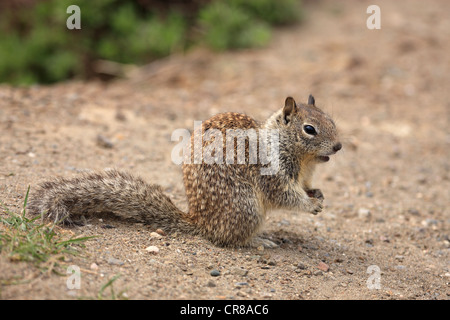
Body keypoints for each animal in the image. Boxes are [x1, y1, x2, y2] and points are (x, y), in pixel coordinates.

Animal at [28, 95, 340, 248]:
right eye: (309, 129)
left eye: (333, 120)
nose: (338, 146)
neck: (305, 160)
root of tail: (199, 221)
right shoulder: (272, 172)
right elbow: (285, 196)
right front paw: (310, 204)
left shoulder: (304, 175)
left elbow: (307, 187)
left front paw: (318, 194)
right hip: (248, 208)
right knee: (229, 240)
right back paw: (259, 240)